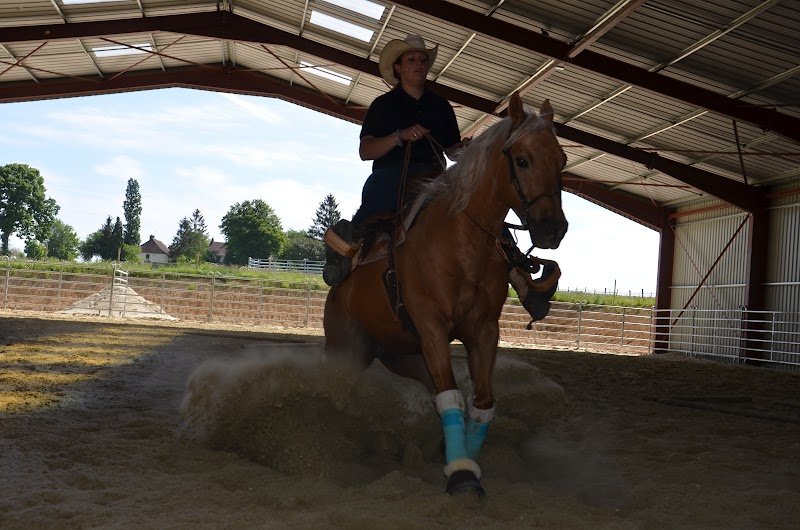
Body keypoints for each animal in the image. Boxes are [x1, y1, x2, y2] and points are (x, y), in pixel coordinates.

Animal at [323, 91, 568, 496]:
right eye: (522, 159)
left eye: (561, 161)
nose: (553, 229)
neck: (460, 244)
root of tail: (339, 290)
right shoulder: (434, 329)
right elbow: (452, 395)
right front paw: (463, 473)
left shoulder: (483, 331)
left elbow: (480, 401)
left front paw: (463, 457)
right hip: (348, 348)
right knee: (341, 390)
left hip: (402, 354)